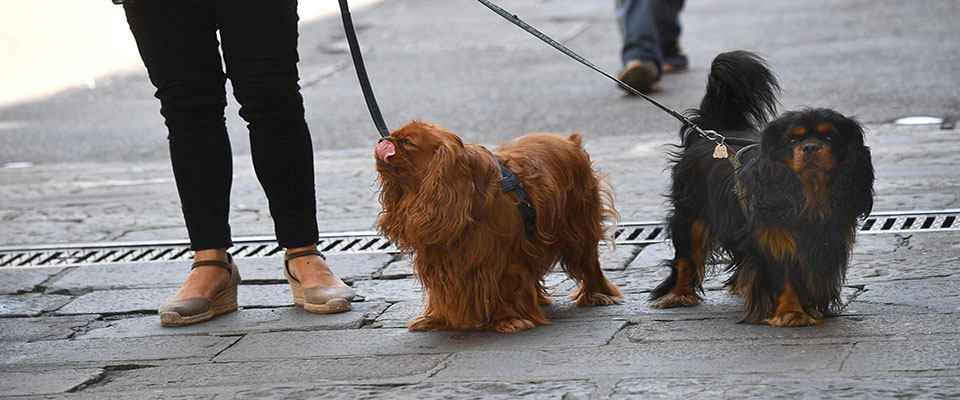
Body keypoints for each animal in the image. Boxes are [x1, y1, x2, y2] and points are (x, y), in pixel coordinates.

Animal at [372, 120, 628, 332]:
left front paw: (508, 320)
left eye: (407, 142)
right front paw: (436, 319)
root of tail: (570, 141)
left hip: (578, 227)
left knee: (590, 262)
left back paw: (597, 294)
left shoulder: (502, 256)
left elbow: (503, 287)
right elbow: (439, 291)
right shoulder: (439, 256)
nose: (382, 141)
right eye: (391, 135)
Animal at [656, 50, 872, 324]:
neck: (808, 192)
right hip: (691, 214)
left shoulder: (826, 242)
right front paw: (791, 313)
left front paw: (810, 309)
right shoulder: (773, 239)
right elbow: (782, 276)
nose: (811, 147)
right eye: (792, 140)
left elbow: (810, 275)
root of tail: (711, 132)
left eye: (830, 137)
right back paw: (678, 294)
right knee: (686, 256)